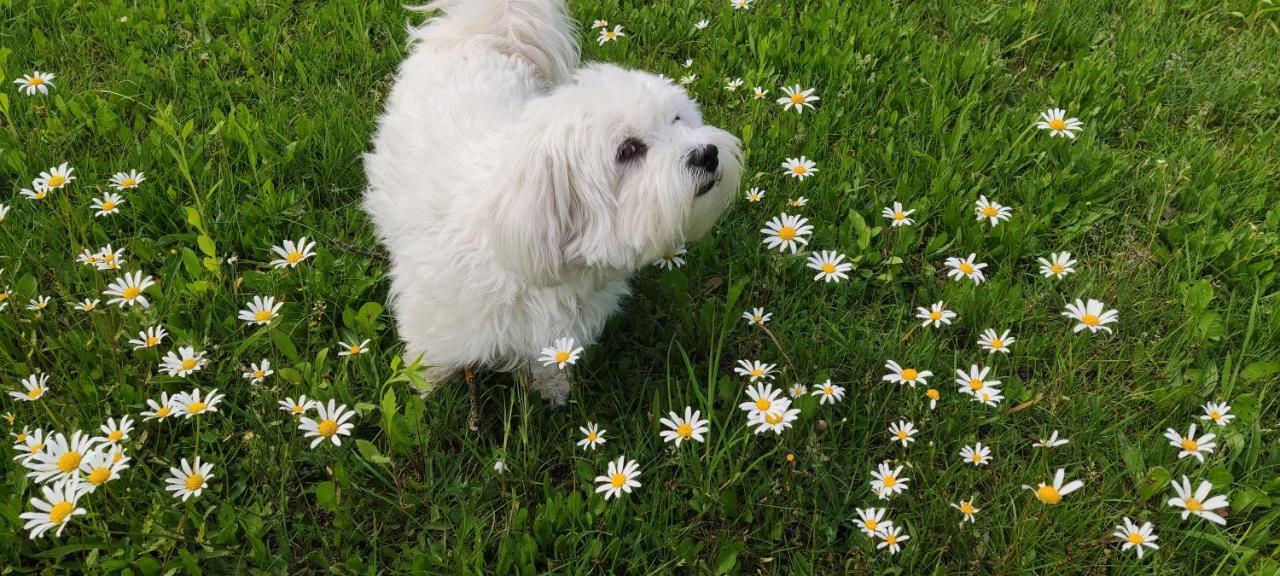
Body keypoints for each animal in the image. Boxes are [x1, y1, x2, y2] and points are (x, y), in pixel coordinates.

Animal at [363, 1, 742, 404]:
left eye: (677, 119)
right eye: (627, 150)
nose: (707, 154)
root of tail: (475, 38)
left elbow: (547, 359)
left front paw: (552, 387)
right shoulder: (433, 310)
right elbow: (431, 352)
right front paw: (426, 386)